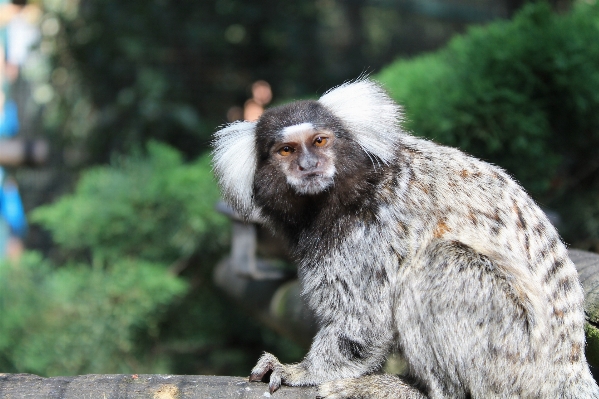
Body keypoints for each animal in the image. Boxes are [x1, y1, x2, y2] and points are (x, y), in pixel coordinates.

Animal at [212, 79, 599, 398]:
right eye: (286, 151)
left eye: (319, 141)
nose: (309, 166)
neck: (349, 190)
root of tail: (568, 369)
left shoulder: (369, 231)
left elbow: (362, 323)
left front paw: (301, 371)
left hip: (514, 356)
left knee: (439, 261)